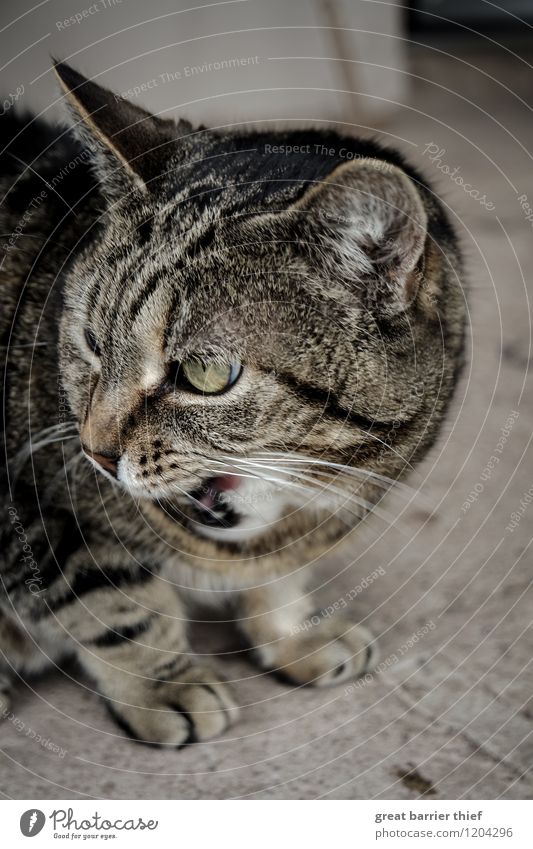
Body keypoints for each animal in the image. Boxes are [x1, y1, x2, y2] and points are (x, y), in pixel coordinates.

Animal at [0, 63, 466, 744]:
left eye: (207, 373)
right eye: (91, 340)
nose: (94, 451)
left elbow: (278, 578)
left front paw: (293, 633)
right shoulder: (30, 510)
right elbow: (109, 600)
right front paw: (166, 684)